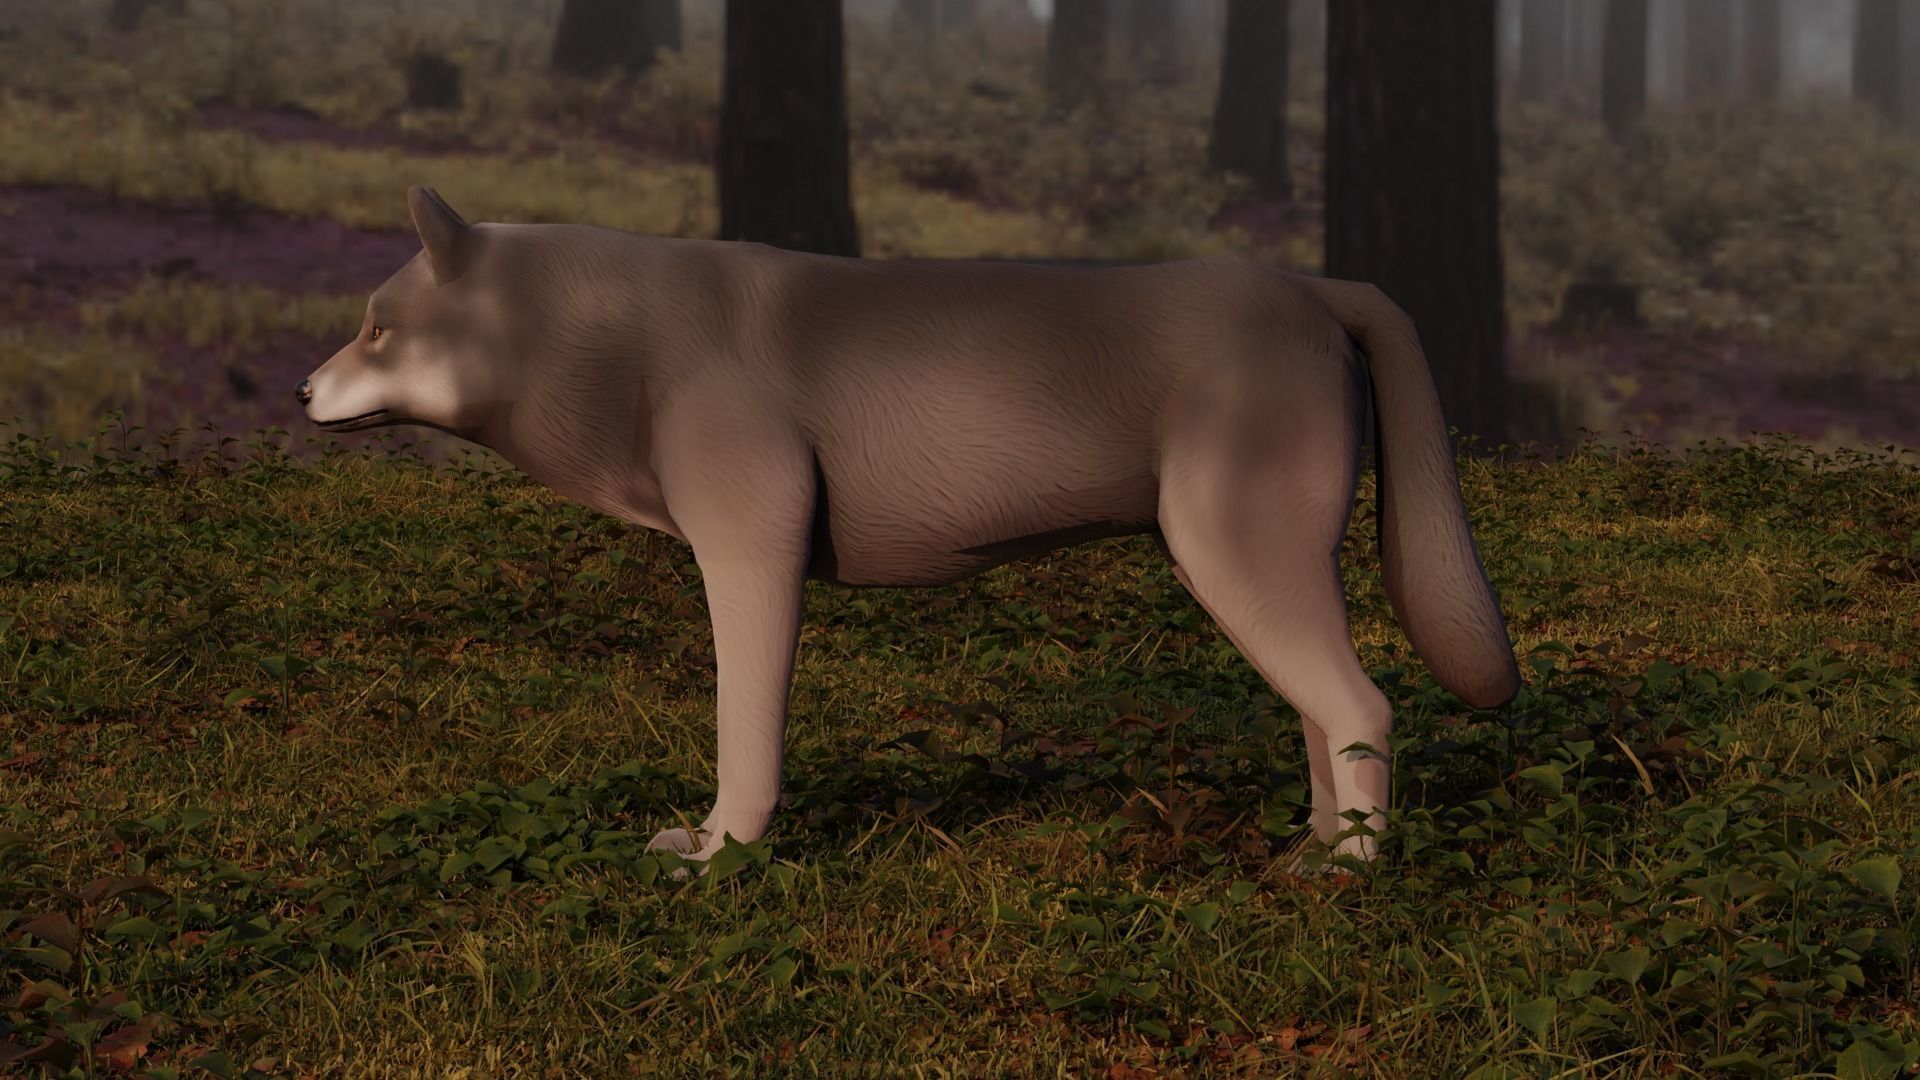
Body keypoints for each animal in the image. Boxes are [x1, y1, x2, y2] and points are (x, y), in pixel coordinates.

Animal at [298, 186, 1521, 869]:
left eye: (377, 328)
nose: (302, 390)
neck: (619, 341)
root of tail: (1323, 288)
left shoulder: (752, 553)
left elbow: (746, 732)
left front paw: (717, 858)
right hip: (1258, 571)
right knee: (1322, 713)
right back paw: (1311, 851)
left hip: (1233, 560)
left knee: (1363, 704)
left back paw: (1352, 876)